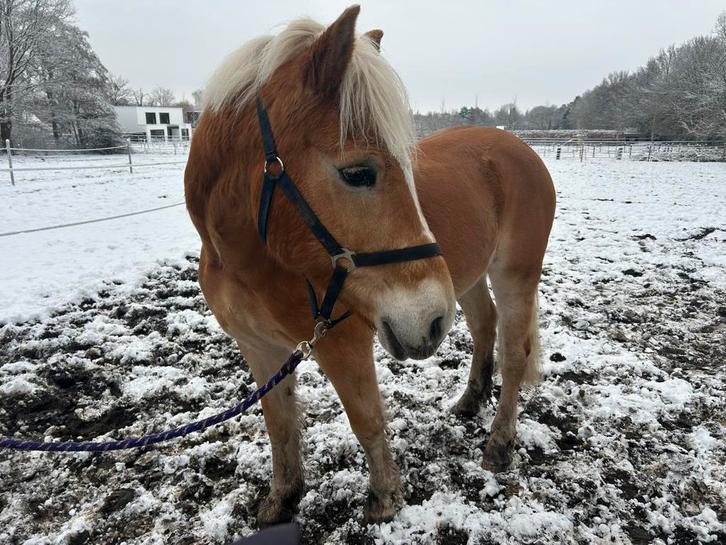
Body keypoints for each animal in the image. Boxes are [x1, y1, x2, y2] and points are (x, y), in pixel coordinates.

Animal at [184, 5, 556, 526]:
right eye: (358, 173)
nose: (429, 319)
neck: (249, 261)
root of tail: (520, 149)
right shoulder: (259, 348)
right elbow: (279, 425)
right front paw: (282, 500)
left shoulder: (342, 344)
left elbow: (365, 420)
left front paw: (384, 499)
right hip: (468, 280)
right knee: (485, 327)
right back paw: (469, 401)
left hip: (513, 275)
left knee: (514, 352)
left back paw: (499, 445)